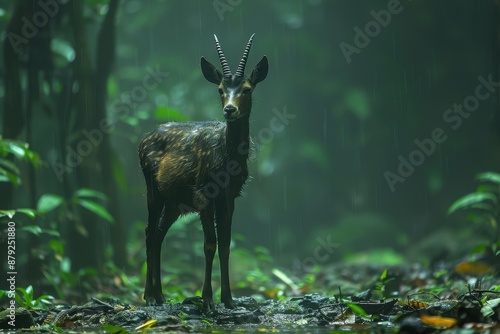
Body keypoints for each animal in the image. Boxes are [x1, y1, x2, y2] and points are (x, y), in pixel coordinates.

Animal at [139, 34, 268, 310]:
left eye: (247, 89)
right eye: (220, 89)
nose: (229, 109)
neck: (227, 159)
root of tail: (143, 140)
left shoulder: (230, 195)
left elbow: (226, 243)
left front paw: (229, 299)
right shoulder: (203, 192)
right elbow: (209, 244)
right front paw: (207, 299)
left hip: (175, 201)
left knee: (159, 234)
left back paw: (161, 295)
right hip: (151, 187)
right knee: (149, 232)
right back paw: (149, 297)